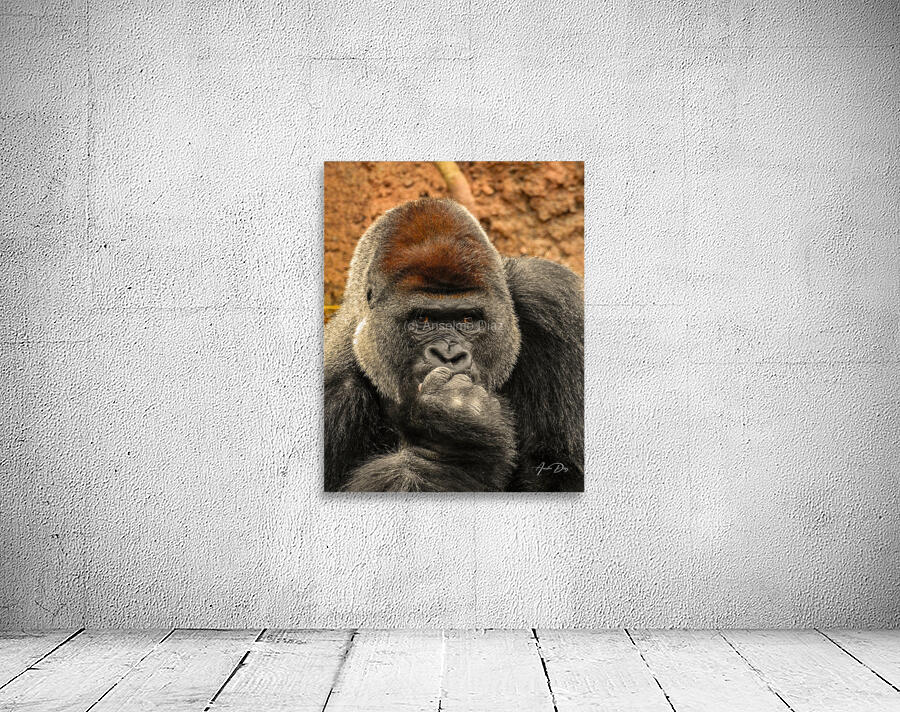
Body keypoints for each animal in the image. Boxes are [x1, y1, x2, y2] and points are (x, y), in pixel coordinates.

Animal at [324, 197, 583, 492]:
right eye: (423, 320)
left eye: (468, 319)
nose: (448, 355)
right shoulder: (333, 388)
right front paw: (449, 447)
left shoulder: (552, 300)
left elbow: (562, 470)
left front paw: (455, 437)